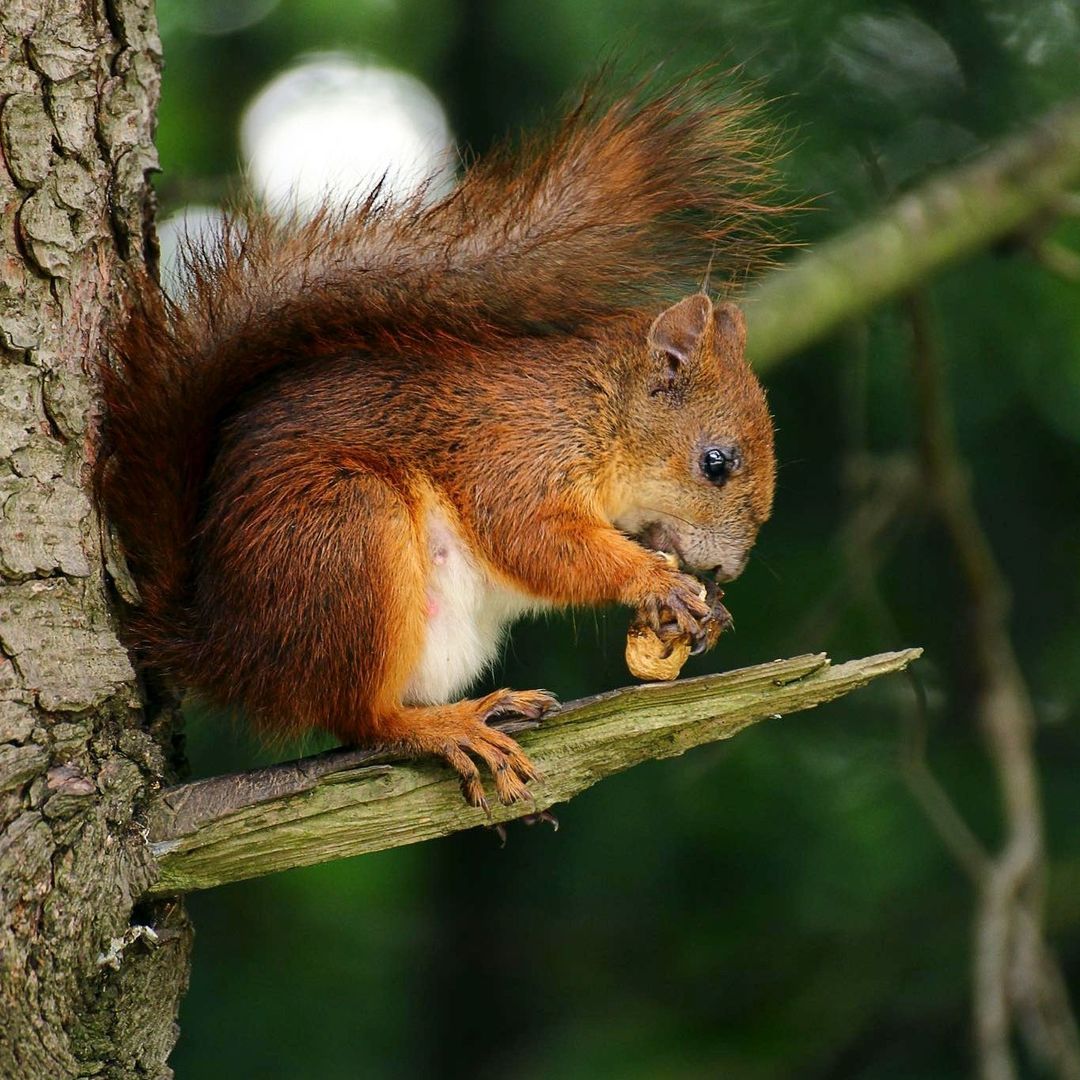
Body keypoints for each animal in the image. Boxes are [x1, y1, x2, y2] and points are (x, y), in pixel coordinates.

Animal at [97, 79, 777, 812]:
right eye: (716, 463)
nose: (731, 569)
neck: (596, 408)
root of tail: (224, 648)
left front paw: (713, 610)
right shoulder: (515, 451)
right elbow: (534, 538)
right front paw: (658, 581)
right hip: (347, 536)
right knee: (361, 719)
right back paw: (448, 727)